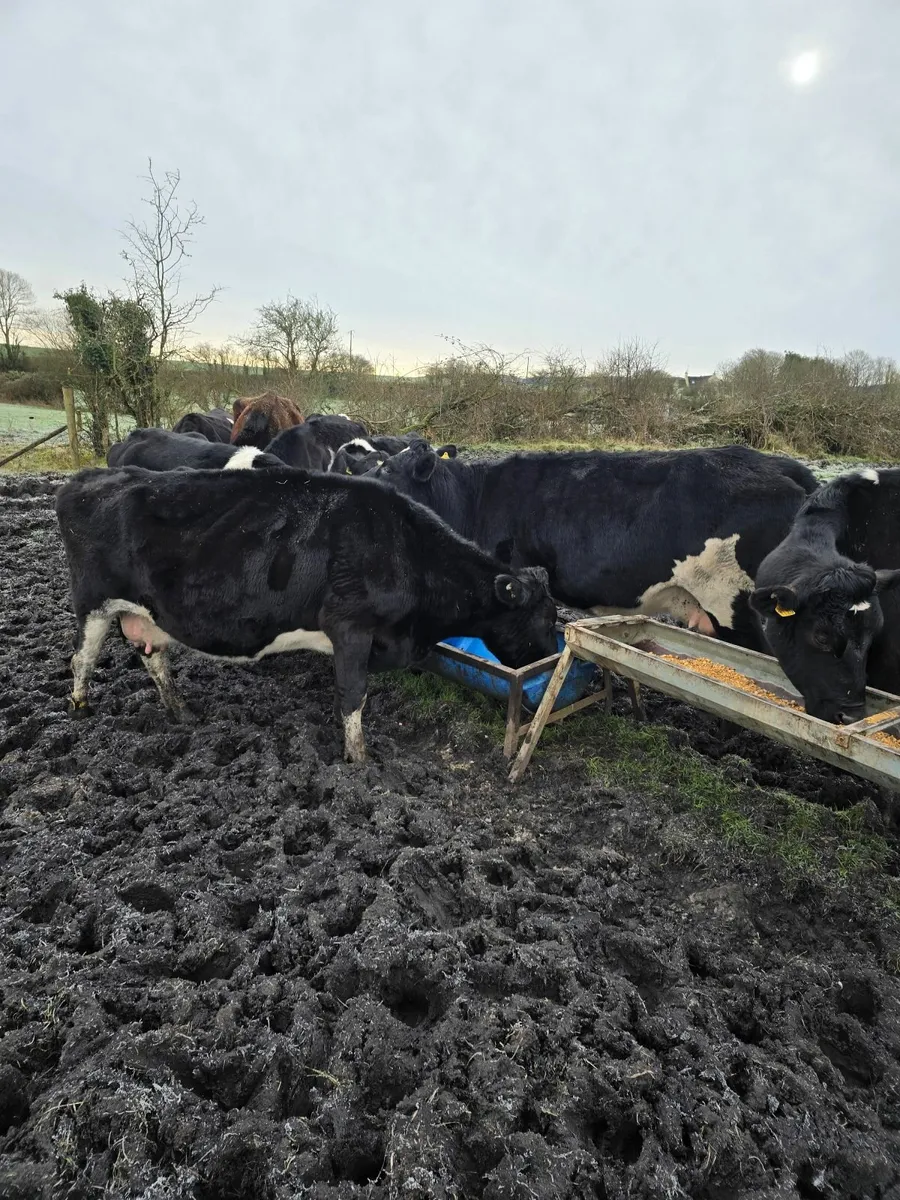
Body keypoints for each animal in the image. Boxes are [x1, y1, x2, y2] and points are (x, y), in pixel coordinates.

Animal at [54, 467, 558, 763]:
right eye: (545, 619)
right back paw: (80, 706)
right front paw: (359, 761)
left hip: (148, 615)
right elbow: (353, 695)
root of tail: (89, 478)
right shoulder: (351, 626)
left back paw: (183, 713)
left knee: (154, 659)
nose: (549, 663)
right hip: (93, 601)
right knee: (82, 658)